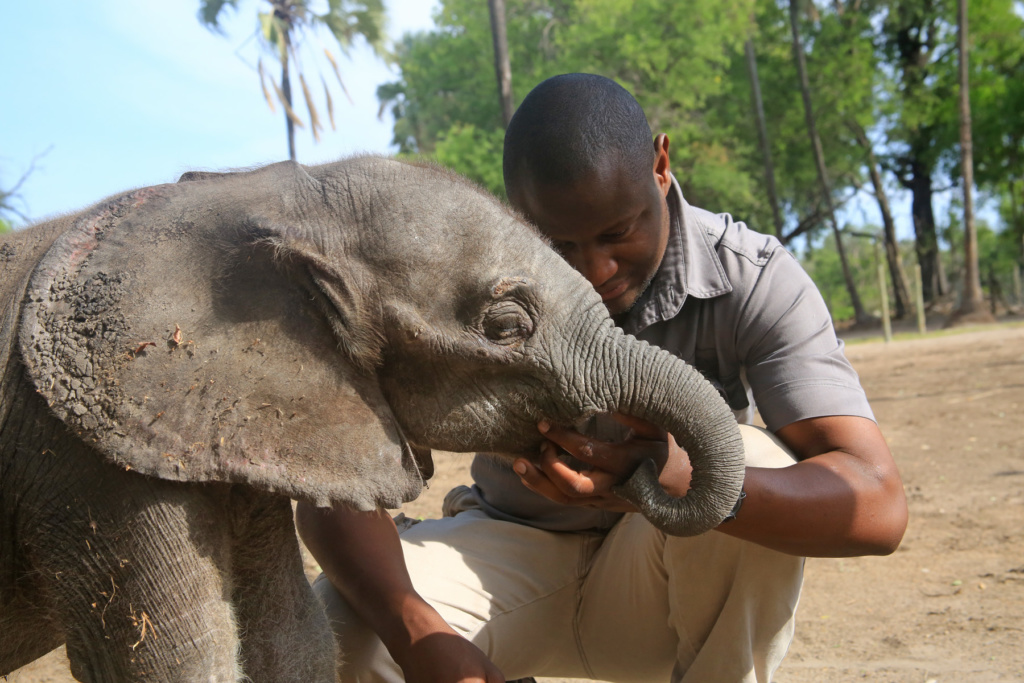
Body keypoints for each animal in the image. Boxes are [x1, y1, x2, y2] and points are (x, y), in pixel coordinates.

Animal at [0, 157, 741, 683]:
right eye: (506, 326)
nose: (643, 462)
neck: (265, 197)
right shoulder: (84, 456)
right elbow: (178, 659)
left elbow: (292, 642)